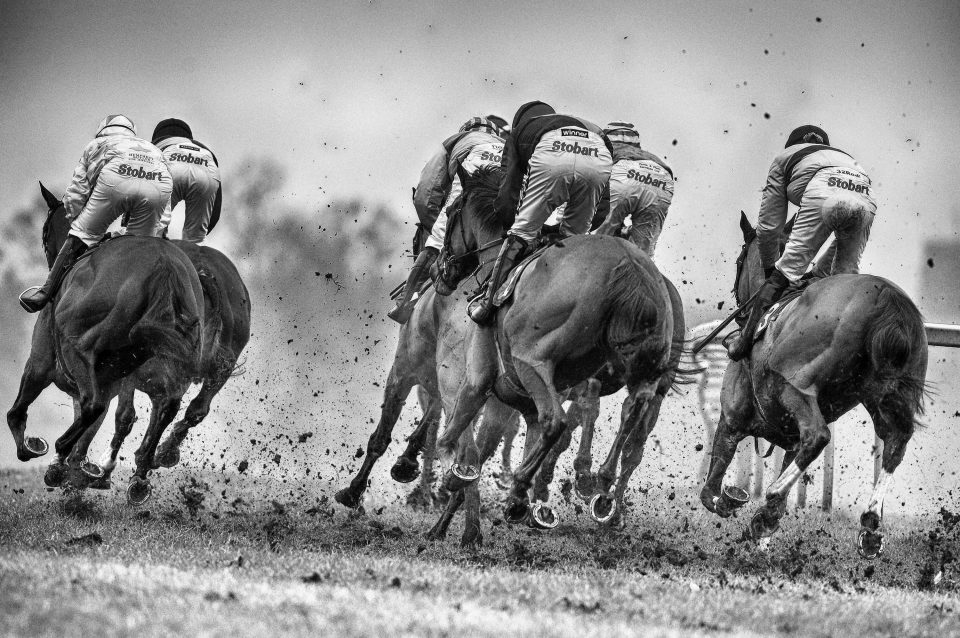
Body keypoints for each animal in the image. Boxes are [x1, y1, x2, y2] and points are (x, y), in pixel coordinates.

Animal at [6, 182, 204, 502]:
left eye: (44, 234)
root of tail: (164, 268)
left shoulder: (40, 362)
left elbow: (17, 413)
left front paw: (37, 449)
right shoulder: (112, 379)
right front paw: (81, 471)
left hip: (77, 347)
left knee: (92, 405)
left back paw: (60, 455)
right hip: (178, 359)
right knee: (167, 406)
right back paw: (139, 475)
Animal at [696, 212, 928, 556]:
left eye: (739, 260)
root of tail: (888, 301)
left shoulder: (731, 420)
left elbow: (710, 491)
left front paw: (733, 502)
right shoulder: (790, 442)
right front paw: (764, 528)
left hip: (795, 387)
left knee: (819, 435)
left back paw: (774, 493)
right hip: (887, 397)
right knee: (895, 444)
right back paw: (871, 525)